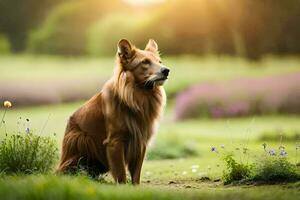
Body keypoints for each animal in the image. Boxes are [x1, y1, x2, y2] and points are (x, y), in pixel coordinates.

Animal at [56, 39, 169, 184]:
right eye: (145, 62)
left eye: (160, 61)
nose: (166, 70)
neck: (138, 95)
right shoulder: (115, 142)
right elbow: (121, 173)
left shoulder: (141, 141)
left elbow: (136, 175)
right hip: (81, 139)